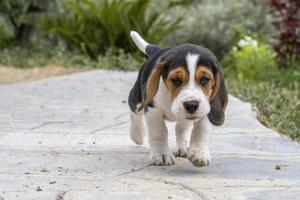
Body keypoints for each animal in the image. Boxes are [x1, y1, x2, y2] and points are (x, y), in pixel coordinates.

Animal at [127, 30, 229, 166]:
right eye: (176, 80)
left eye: (204, 79)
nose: (191, 105)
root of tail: (157, 50)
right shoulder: (153, 110)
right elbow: (159, 131)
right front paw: (162, 154)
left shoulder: (208, 108)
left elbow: (201, 130)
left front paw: (199, 153)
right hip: (137, 97)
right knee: (135, 112)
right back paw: (137, 134)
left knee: (181, 127)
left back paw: (183, 147)